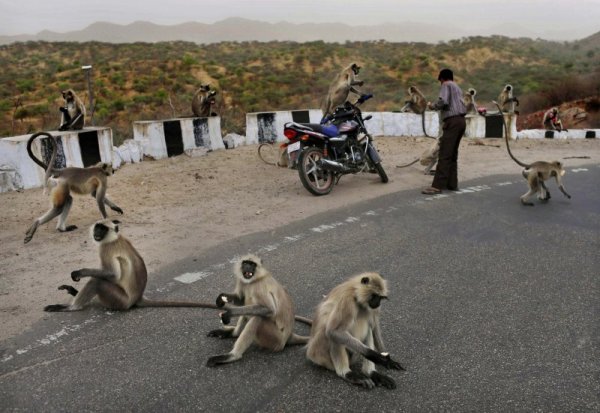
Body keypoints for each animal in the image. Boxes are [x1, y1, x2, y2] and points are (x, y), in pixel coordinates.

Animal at [42, 217, 220, 310]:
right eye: (97, 228)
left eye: (103, 229)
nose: (96, 232)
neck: (115, 237)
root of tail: (137, 298)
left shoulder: (106, 248)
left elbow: (112, 274)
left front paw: (80, 272)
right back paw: (73, 293)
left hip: (120, 301)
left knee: (98, 281)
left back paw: (70, 307)